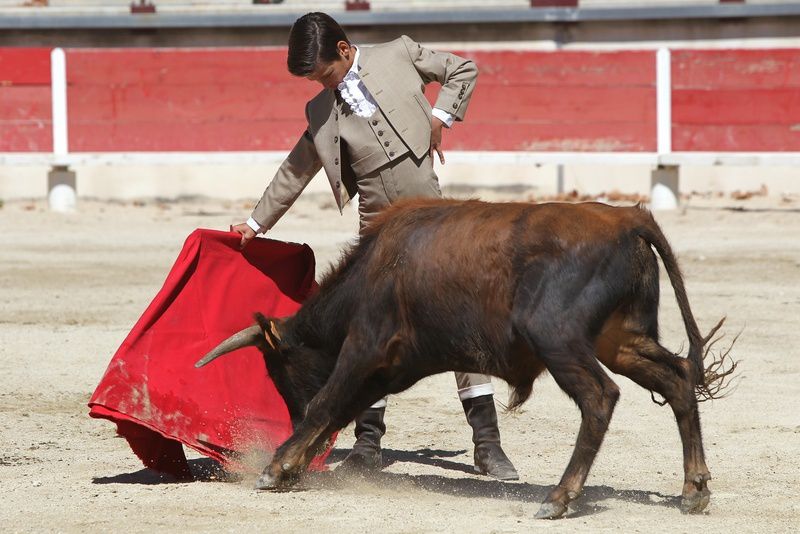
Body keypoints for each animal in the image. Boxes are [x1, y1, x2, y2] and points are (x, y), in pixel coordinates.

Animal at [197, 199, 736, 520]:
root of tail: (629, 217)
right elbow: (340, 408)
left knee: (600, 397)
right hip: (620, 340)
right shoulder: (387, 367)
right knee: (677, 379)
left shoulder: (365, 346)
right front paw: (294, 465)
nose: (285, 417)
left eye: (281, 372)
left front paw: (276, 467)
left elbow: (326, 403)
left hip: (558, 339)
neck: (370, 274)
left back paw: (558, 498)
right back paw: (694, 490)